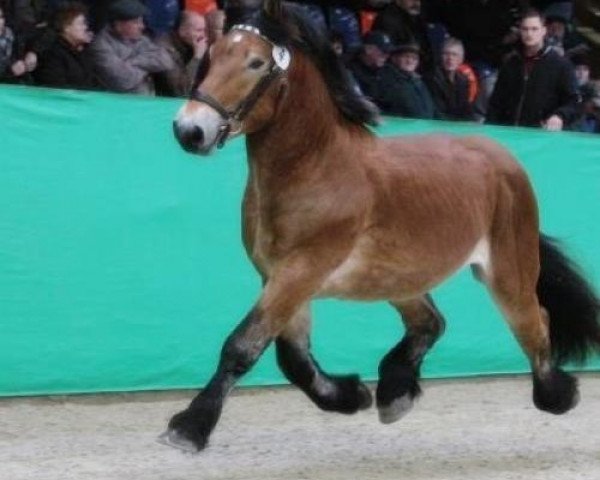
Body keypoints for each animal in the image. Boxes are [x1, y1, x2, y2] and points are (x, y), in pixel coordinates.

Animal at [163, 0, 600, 452]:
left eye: (255, 62)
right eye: (214, 55)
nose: (189, 129)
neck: (317, 168)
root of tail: (503, 157)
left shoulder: (301, 270)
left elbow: (243, 345)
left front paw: (189, 427)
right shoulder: (280, 276)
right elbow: (292, 357)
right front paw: (349, 395)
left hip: (508, 272)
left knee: (535, 324)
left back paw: (557, 395)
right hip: (397, 277)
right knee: (430, 322)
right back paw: (395, 393)